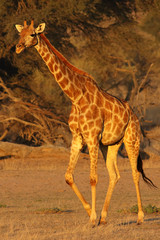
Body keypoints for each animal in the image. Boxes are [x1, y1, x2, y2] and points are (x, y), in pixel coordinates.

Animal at [14, 20, 155, 225]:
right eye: (20, 34)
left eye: (32, 34)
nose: (17, 47)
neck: (76, 96)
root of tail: (135, 115)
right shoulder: (78, 137)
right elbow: (68, 176)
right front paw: (90, 213)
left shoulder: (92, 137)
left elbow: (93, 178)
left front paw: (92, 218)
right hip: (111, 145)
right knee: (115, 175)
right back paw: (104, 218)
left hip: (132, 139)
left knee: (135, 173)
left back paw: (140, 217)